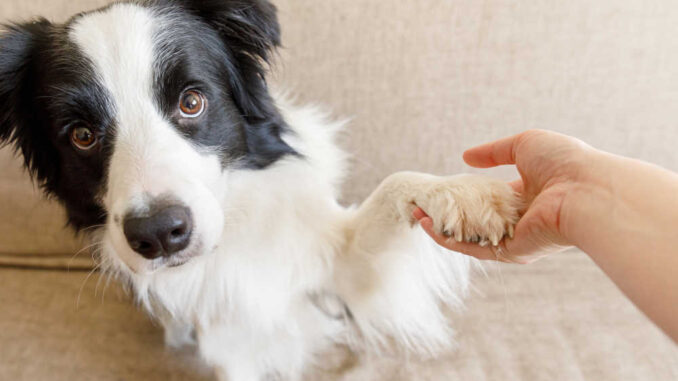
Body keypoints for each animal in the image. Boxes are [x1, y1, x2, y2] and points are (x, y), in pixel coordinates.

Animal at [0, 1, 520, 378]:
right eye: (81, 135)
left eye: (192, 101)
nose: (159, 234)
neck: (230, 239)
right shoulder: (230, 341)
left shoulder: (339, 267)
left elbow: (396, 185)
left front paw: (472, 197)